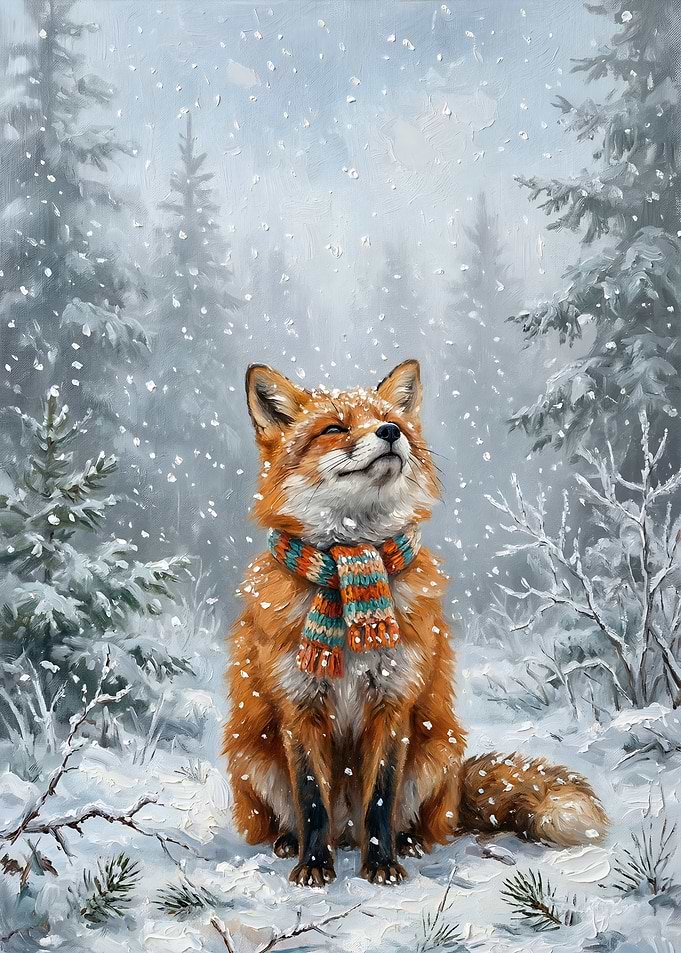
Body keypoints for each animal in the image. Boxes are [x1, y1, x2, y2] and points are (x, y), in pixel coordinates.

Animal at [223, 359, 608, 887]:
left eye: (393, 422)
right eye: (334, 429)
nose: (390, 434)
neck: (351, 560)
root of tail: (348, 834)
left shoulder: (394, 700)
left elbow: (381, 799)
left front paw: (382, 864)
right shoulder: (299, 705)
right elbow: (312, 799)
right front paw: (315, 865)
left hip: (436, 753)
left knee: (418, 821)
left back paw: (405, 842)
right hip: (252, 755)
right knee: (294, 817)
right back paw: (289, 842)